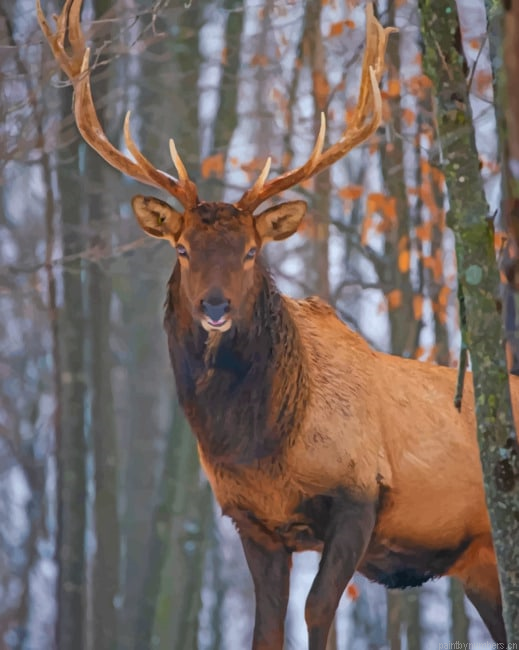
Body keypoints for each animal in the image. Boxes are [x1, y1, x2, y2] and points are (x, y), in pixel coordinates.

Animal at [38, 1, 516, 647]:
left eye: (250, 250)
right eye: (182, 248)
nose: (215, 307)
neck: (261, 449)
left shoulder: (359, 494)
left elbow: (318, 613)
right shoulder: (253, 521)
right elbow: (266, 627)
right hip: (479, 565)